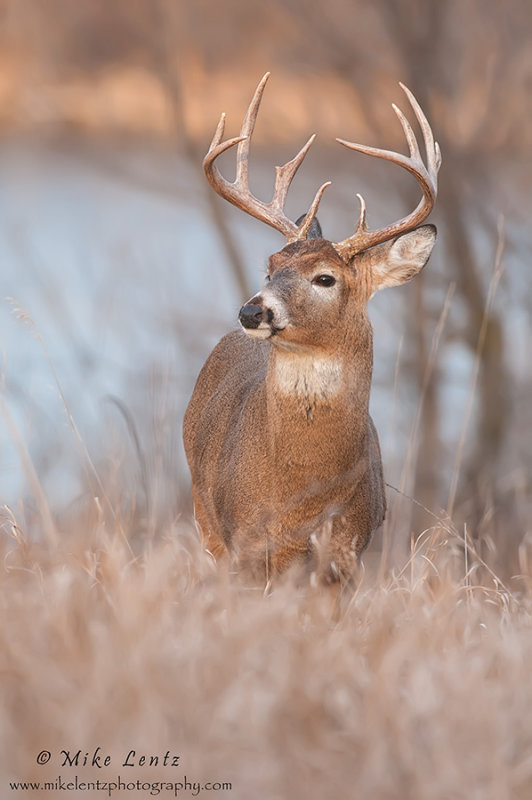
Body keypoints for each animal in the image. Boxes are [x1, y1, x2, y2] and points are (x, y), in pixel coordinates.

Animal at [183, 75, 440, 584]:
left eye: (325, 278)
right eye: (269, 267)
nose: (252, 311)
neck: (303, 493)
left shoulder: (347, 552)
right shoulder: (244, 544)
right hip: (206, 518)